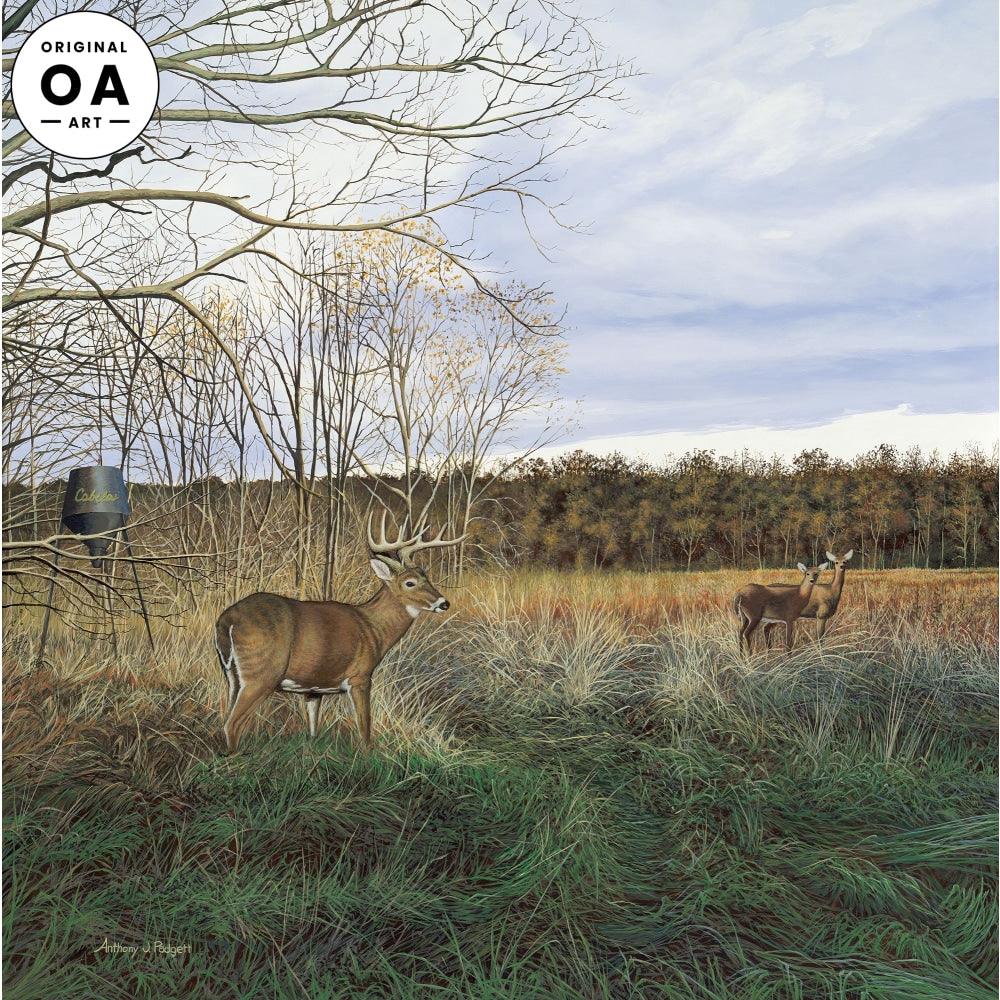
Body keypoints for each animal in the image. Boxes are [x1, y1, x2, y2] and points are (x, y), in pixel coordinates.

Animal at [214, 512, 463, 752]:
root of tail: (227, 620)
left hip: (232, 676)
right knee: (232, 724)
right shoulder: (360, 676)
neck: (373, 628)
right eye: (410, 583)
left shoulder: (314, 687)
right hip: (262, 672)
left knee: (226, 717)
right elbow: (365, 727)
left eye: (426, 577)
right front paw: (367, 755)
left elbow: (313, 730)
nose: (444, 603)